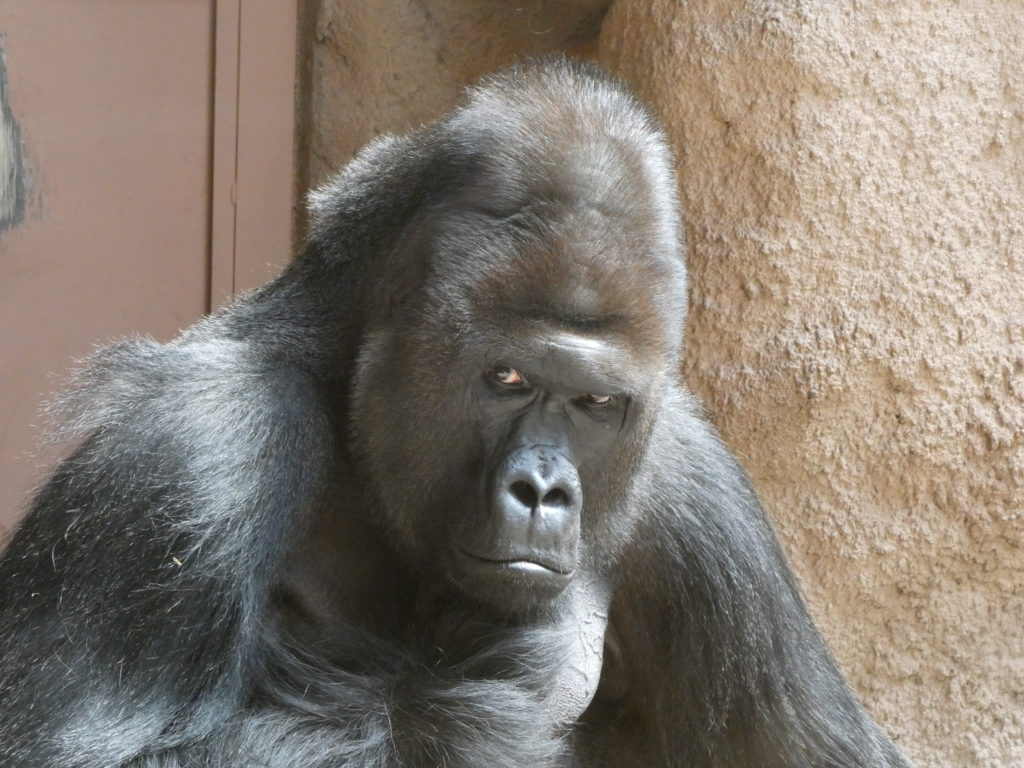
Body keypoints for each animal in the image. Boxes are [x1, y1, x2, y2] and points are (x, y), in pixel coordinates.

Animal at [0, 60, 913, 768]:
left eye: (596, 404)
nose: (543, 492)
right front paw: (465, 712)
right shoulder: (196, 441)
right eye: (505, 378)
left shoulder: (697, 484)